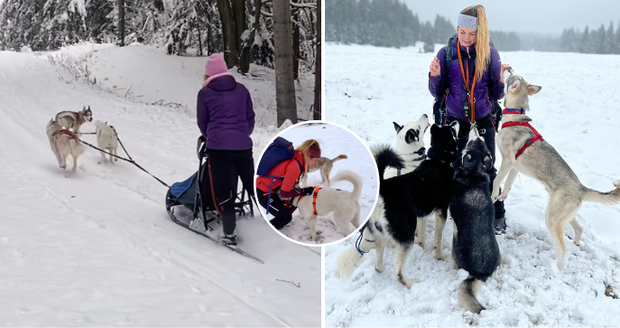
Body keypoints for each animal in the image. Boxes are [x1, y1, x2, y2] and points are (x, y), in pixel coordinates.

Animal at [334, 121, 460, 288]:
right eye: (452, 129)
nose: (454, 121)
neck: (440, 160)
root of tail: (383, 188)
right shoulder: (441, 211)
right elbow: (437, 240)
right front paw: (439, 256)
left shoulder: (421, 215)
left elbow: (421, 236)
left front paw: (421, 246)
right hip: (406, 233)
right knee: (398, 271)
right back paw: (411, 283)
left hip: (381, 233)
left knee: (378, 264)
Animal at [450, 127, 504, 314]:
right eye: (480, 140)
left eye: (474, 140)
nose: (474, 127)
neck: (474, 171)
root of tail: (481, 274)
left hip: (455, 241)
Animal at [490, 68, 620, 264]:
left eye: (512, 76)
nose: (508, 68)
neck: (515, 116)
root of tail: (581, 188)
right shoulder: (515, 166)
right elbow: (508, 183)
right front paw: (502, 195)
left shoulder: (507, 161)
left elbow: (497, 180)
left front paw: (492, 196)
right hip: (563, 215)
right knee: (579, 229)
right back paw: (575, 244)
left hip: (552, 218)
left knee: (563, 249)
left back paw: (556, 265)